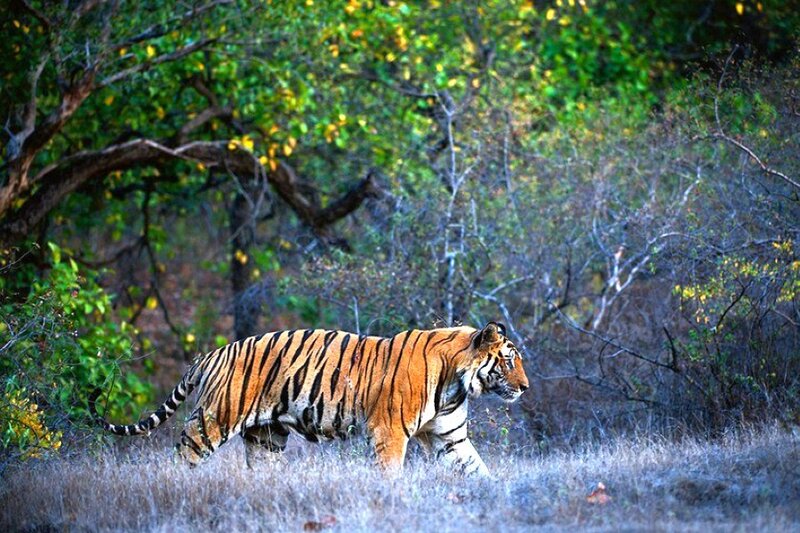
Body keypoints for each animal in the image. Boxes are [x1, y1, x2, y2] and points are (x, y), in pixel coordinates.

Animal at [89, 322, 529, 475]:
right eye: (509, 361)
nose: (525, 387)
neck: (456, 384)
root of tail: (213, 352)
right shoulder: (388, 432)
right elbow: (390, 475)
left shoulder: (449, 437)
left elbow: (477, 470)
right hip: (215, 419)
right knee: (183, 455)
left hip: (266, 437)